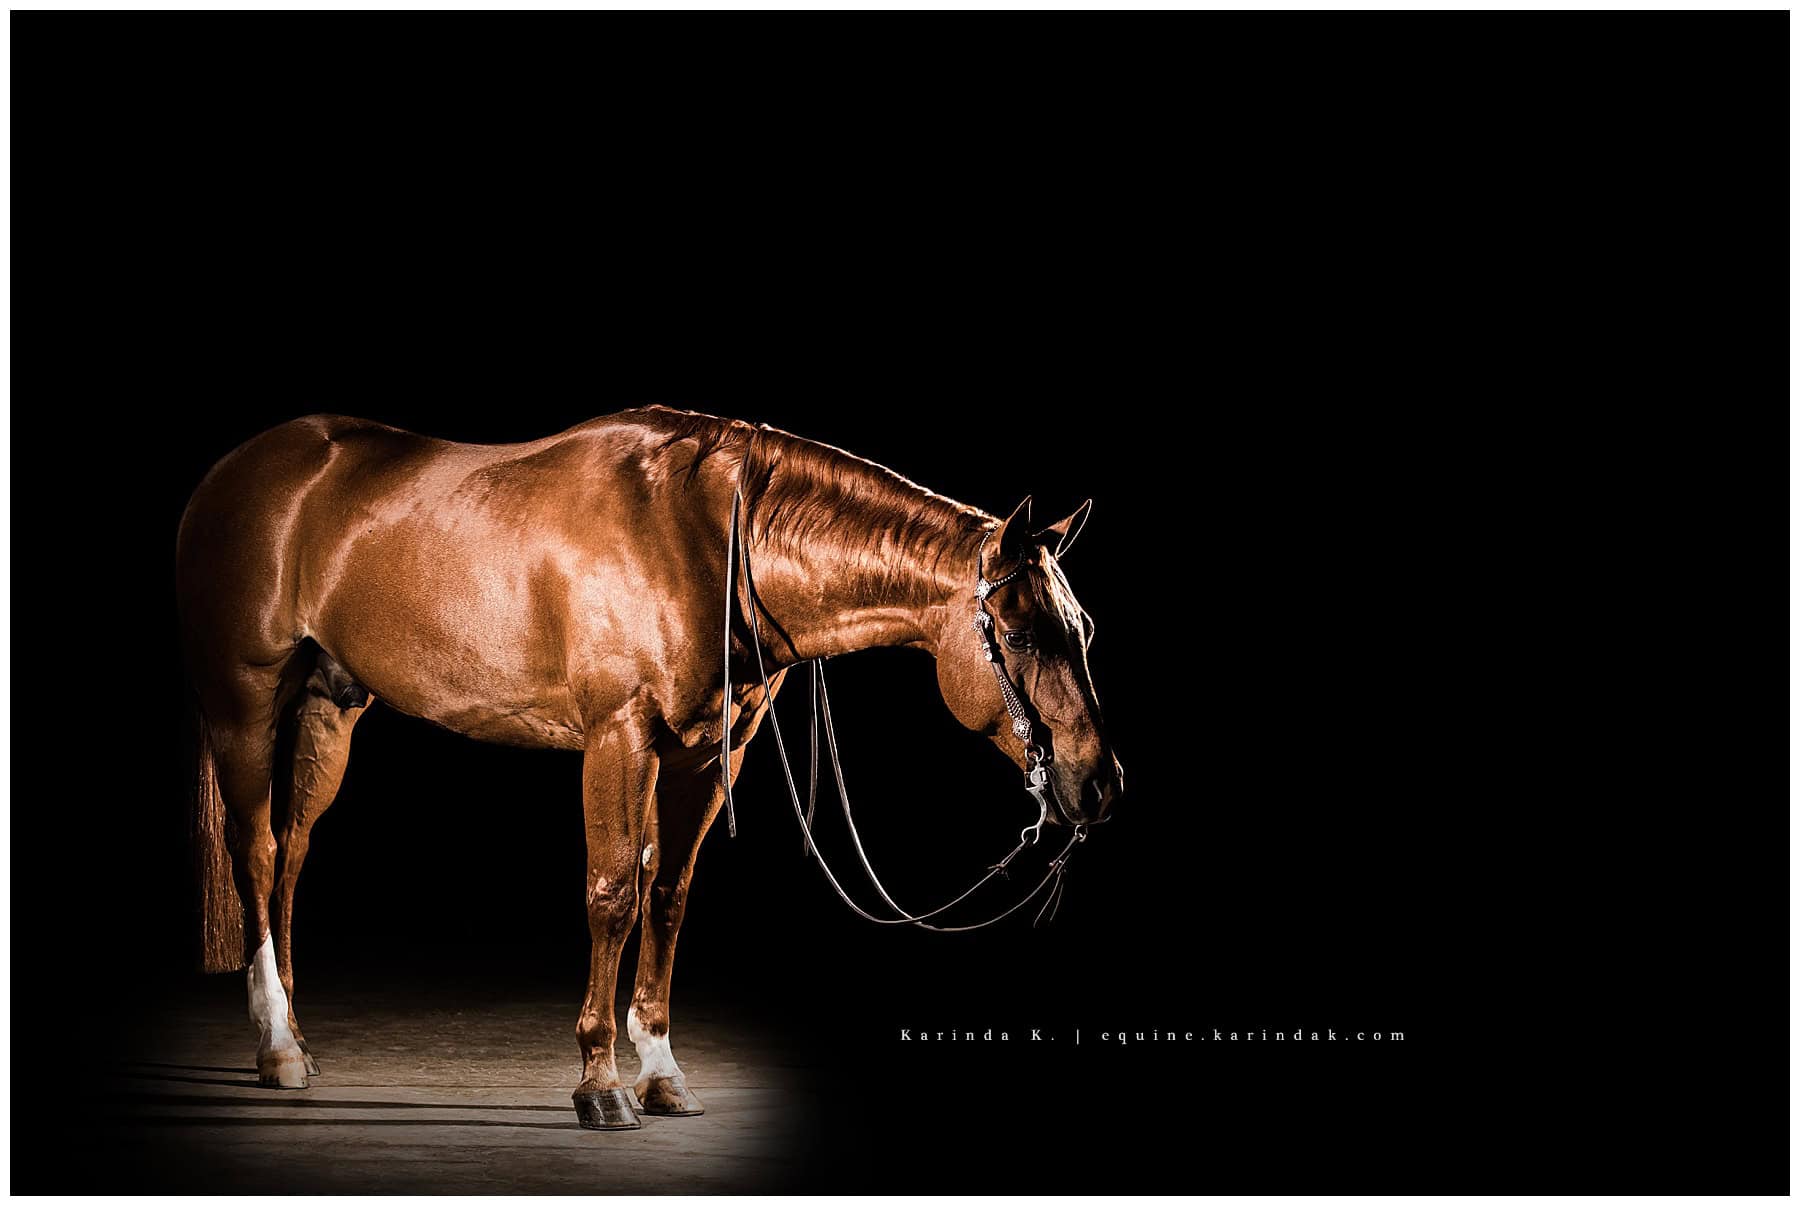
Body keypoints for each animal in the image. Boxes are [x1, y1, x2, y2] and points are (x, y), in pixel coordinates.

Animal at [177, 405, 1123, 1129]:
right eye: (1025, 636)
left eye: (1083, 629)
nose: (1100, 784)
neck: (704, 538)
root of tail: (233, 470)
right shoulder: (617, 736)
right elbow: (612, 894)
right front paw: (599, 1083)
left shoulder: (710, 752)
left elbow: (667, 896)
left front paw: (662, 1073)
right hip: (247, 702)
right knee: (257, 852)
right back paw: (274, 1044)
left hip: (329, 707)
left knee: (293, 854)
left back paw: (297, 1036)